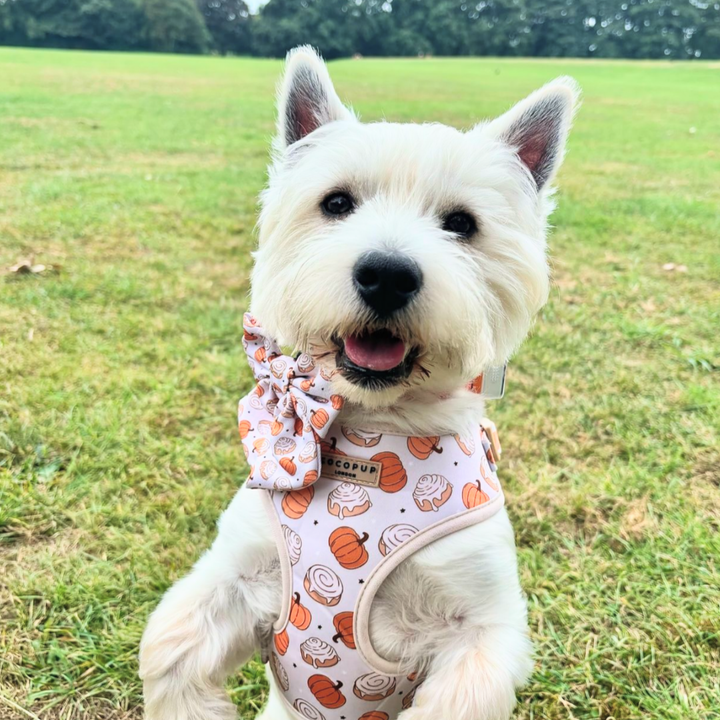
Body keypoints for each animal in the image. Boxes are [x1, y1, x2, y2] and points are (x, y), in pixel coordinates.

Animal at [141, 46, 580, 720]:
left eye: (462, 223)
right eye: (337, 203)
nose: (387, 274)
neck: (377, 426)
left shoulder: (481, 628)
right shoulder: (238, 574)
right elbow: (171, 648)